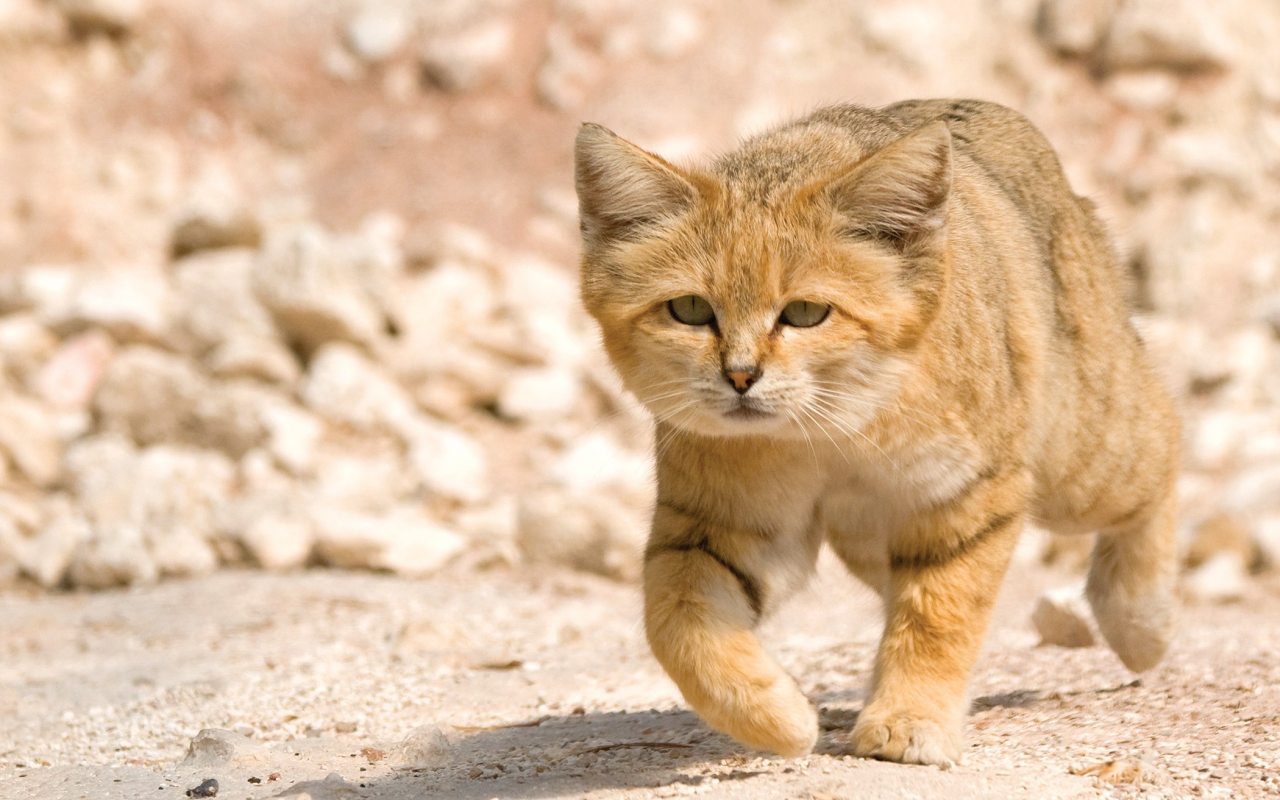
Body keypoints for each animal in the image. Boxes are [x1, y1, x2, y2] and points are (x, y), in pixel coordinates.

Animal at [576, 99, 1172, 768]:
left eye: (806, 313)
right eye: (690, 310)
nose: (740, 376)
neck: (827, 433)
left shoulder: (964, 496)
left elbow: (939, 613)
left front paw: (909, 721)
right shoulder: (723, 522)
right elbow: (676, 618)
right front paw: (776, 717)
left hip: (1081, 459)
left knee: (1165, 434)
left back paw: (1139, 622)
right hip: (869, 537)